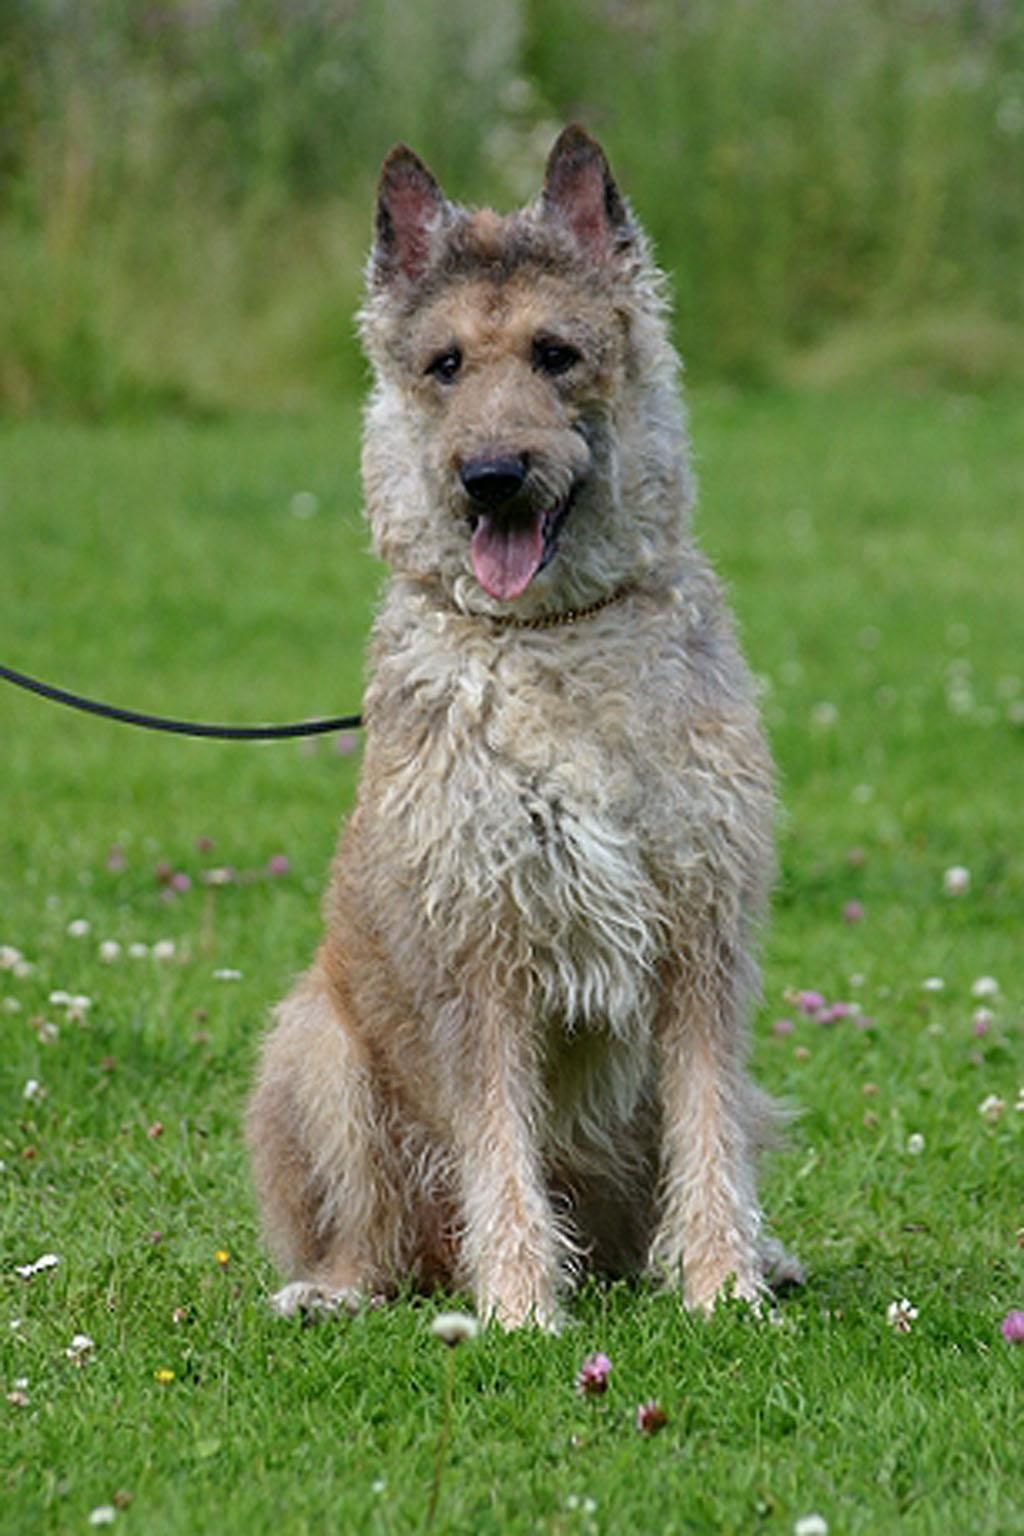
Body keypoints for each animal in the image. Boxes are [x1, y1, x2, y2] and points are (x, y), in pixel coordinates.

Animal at [245, 125, 798, 1327]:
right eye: (445, 364)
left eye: (556, 354)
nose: (491, 477)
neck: (550, 639)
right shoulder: (480, 958)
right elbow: (497, 1146)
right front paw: (519, 1309)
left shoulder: (701, 944)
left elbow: (707, 1133)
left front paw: (724, 1287)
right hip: (317, 1047)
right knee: (377, 1240)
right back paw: (337, 1292)